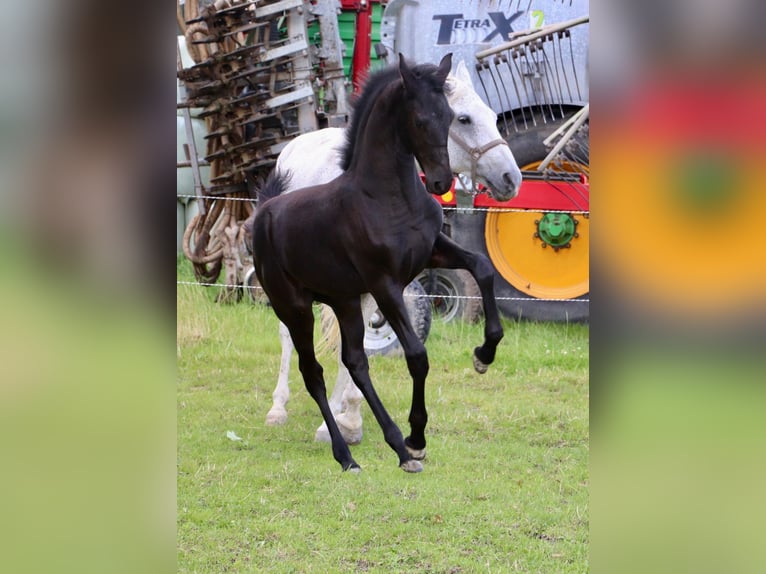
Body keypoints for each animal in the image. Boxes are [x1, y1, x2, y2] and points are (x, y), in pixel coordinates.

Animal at [264, 59, 520, 446]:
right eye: (464, 119)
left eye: (491, 116)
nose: (511, 178)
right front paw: (342, 421)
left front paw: (349, 418)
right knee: (286, 335)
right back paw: (279, 406)